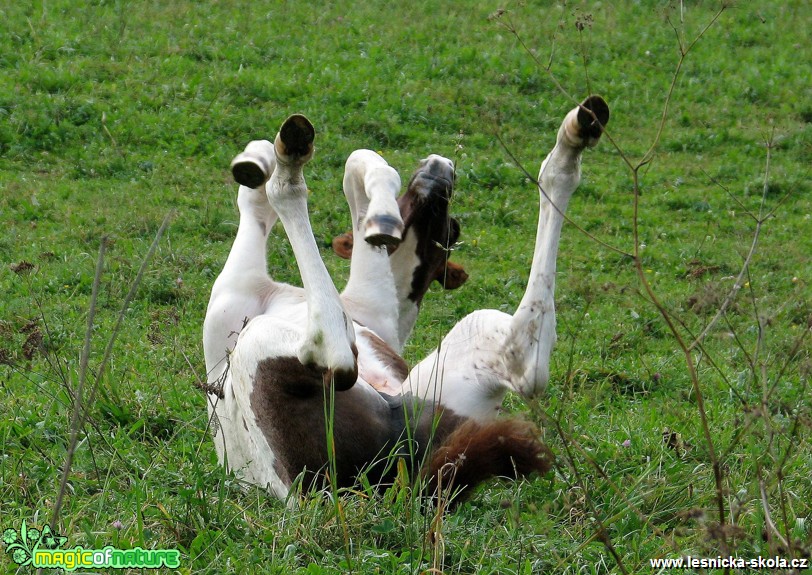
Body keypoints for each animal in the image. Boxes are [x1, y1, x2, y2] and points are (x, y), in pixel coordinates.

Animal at [203, 98, 608, 504]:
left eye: (451, 229)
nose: (438, 169)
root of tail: (411, 482)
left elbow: (355, 167)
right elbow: (333, 179)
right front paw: (256, 159)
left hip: (276, 353)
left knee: (331, 350)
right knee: (523, 359)